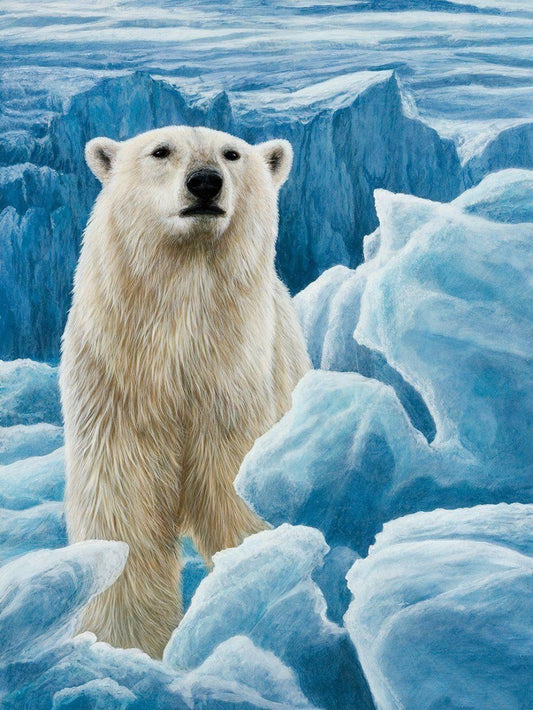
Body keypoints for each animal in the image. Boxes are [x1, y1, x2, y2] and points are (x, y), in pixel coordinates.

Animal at [60, 125, 311, 658]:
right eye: (161, 151)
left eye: (232, 154)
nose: (205, 183)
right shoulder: (118, 380)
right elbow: (124, 504)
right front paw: (125, 644)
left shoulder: (233, 380)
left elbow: (233, 483)